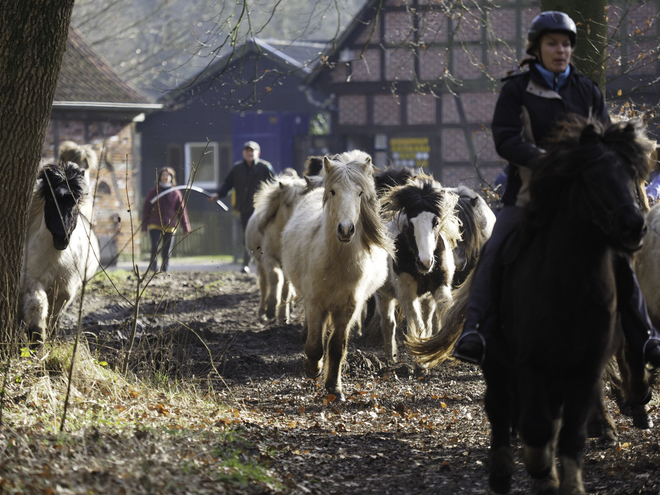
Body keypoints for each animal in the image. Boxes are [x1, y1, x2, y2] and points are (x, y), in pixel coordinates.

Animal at [20, 162, 100, 340]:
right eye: (50, 199)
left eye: (74, 200)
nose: (61, 237)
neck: (55, 257)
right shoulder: (32, 281)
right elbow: (37, 305)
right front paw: (36, 337)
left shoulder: (65, 290)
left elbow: (54, 319)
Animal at [245, 174, 322, 326]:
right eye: (287, 203)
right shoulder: (268, 257)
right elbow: (274, 278)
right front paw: (270, 309)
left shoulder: (288, 264)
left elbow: (286, 288)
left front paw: (282, 316)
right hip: (259, 263)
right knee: (264, 284)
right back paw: (262, 312)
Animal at [282, 150, 394, 400]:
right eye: (333, 192)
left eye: (360, 193)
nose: (345, 229)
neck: (338, 263)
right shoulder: (316, 303)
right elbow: (315, 345)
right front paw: (313, 369)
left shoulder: (348, 307)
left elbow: (336, 346)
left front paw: (334, 387)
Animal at [374, 176, 462, 362]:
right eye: (410, 224)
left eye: (436, 222)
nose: (425, 262)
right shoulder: (406, 292)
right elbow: (417, 323)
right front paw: (419, 361)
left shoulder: (440, 284)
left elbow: (442, 313)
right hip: (383, 295)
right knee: (388, 323)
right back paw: (391, 358)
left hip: (427, 299)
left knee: (427, 320)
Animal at [410, 118, 652, 494]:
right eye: (593, 176)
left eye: (633, 173)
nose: (635, 225)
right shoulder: (531, 362)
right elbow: (538, 423)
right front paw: (543, 468)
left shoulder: (587, 361)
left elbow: (572, 425)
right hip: (497, 359)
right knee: (500, 405)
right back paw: (504, 464)